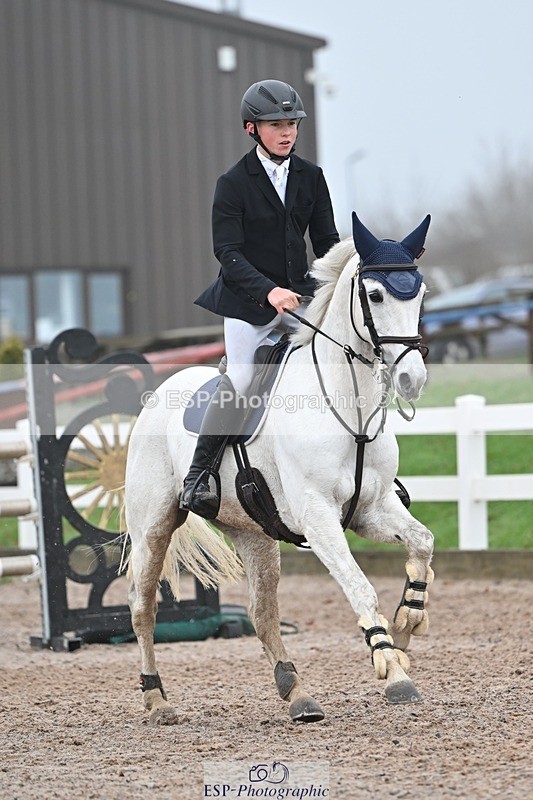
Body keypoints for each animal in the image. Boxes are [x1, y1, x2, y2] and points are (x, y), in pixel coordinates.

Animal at [124, 211, 435, 725]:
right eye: (374, 296)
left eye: (421, 293)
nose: (412, 380)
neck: (348, 407)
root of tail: (161, 390)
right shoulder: (318, 516)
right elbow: (360, 587)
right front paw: (393, 670)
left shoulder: (371, 509)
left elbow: (423, 543)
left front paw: (408, 623)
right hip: (154, 525)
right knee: (143, 605)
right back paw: (156, 700)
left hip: (254, 533)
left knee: (262, 613)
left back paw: (298, 694)